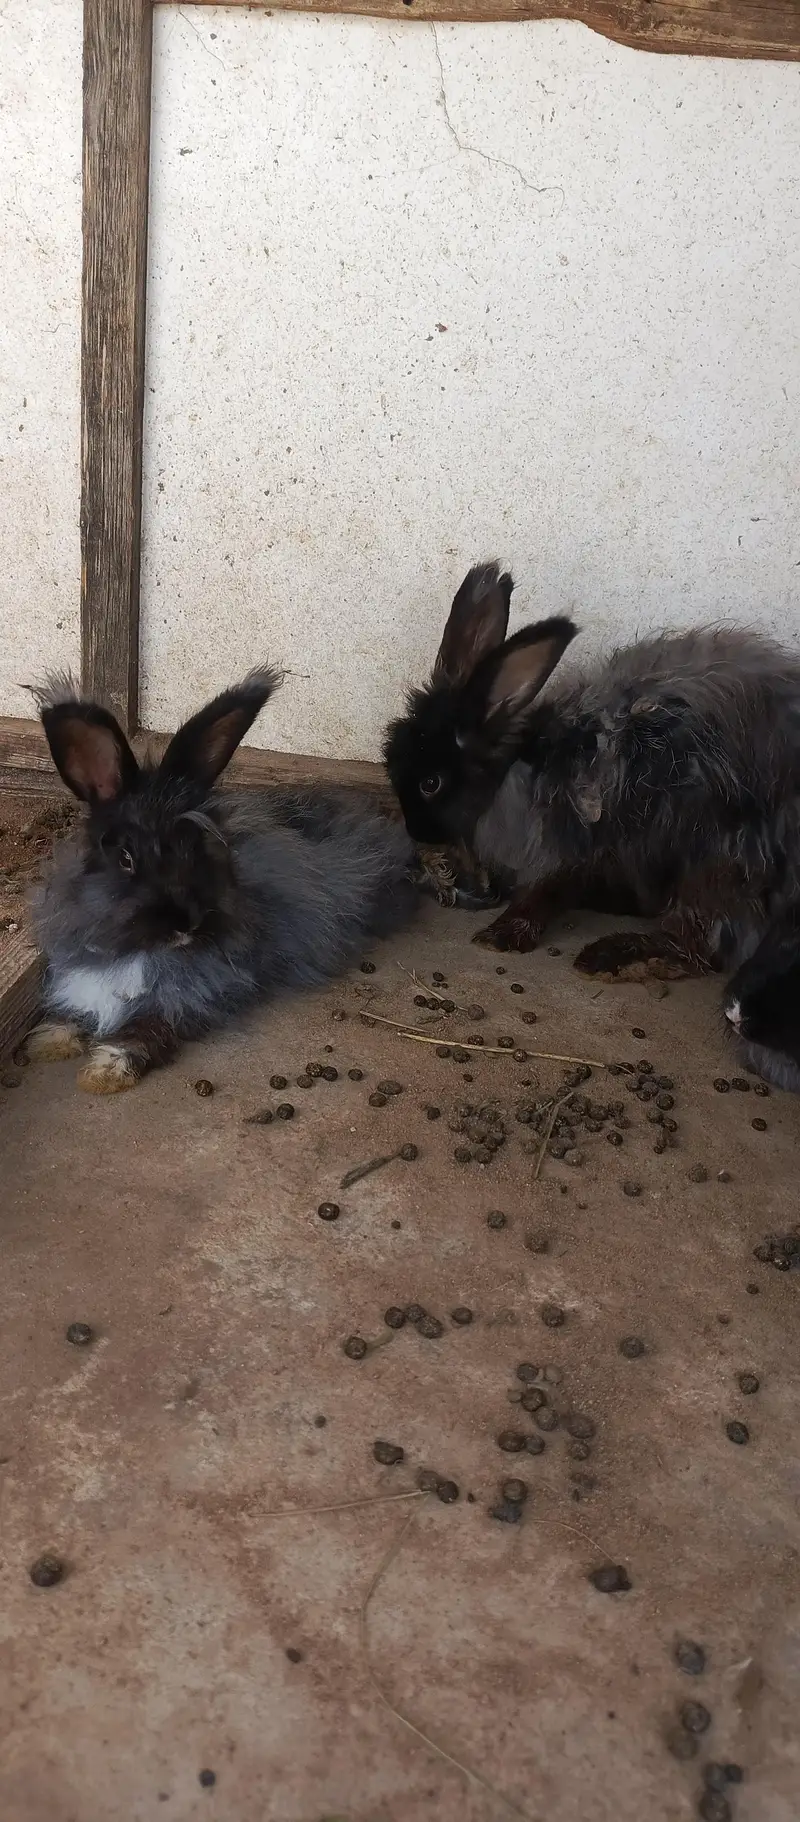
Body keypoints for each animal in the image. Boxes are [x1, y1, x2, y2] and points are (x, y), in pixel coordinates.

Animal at [26, 668, 419, 1093]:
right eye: (125, 858)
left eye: (196, 847)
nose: (186, 923)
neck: (139, 952)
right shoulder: (82, 981)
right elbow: (72, 1013)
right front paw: (48, 1042)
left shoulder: (189, 999)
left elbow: (146, 1030)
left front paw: (104, 1072)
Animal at [383, 562, 800, 971]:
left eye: (431, 783)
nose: (415, 831)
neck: (510, 774)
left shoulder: (572, 849)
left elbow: (547, 893)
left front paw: (502, 934)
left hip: (717, 861)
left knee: (695, 946)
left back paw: (605, 955)